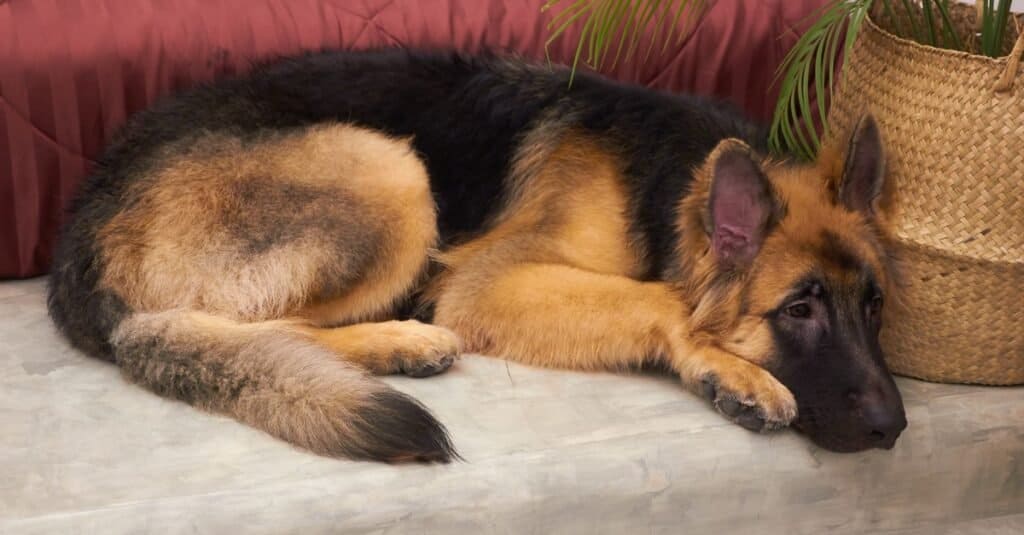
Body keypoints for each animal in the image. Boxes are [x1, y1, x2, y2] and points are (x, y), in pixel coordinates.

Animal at [46, 47, 905, 459]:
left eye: (875, 307)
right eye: (798, 309)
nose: (895, 426)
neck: (666, 186)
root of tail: (83, 224)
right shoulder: (489, 283)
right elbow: (660, 298)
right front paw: (730, 367)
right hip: (390, 170)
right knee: (252, 327)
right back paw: (400, 339)